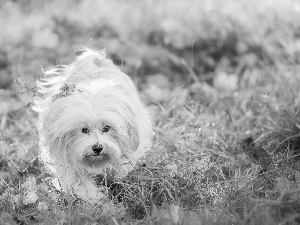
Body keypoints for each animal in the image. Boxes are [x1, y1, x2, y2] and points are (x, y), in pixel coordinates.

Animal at [33, 48, 152, 202]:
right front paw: (97, 200)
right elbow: (81, 184)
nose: (97, 148)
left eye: (106, 128)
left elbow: (119, 169)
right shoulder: (68, 163)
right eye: (84, 130)